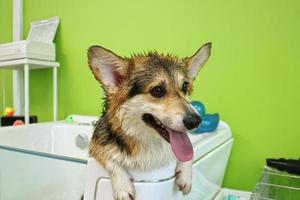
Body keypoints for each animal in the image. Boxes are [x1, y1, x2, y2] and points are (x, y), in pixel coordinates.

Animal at [88, 42, 212, 200]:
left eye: (185, 86)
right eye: (157, 90)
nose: (195, 121)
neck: (150, 141)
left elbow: (189, 152)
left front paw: (186, 176)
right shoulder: (95, 145)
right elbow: (111, 160)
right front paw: (123, 187)